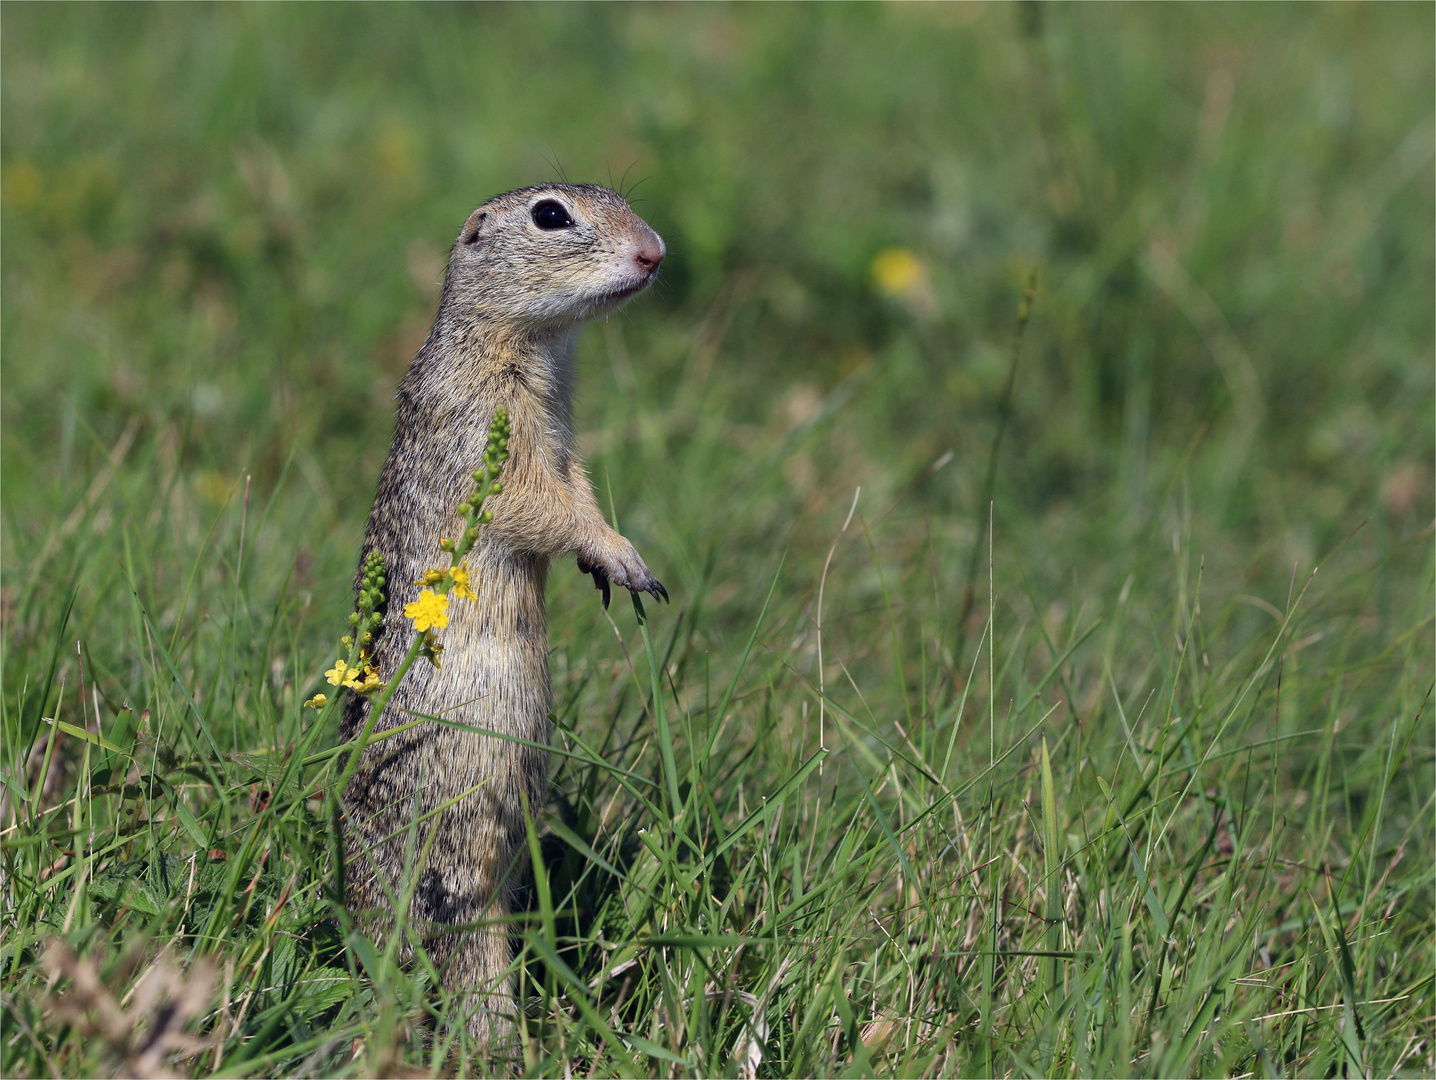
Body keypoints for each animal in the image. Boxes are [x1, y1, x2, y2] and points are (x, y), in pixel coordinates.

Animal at [340, 185, 666, 1045]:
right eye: (551, 215)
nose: (655, 252)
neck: (536, 350)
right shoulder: (492, 429)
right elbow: (541, 504)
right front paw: (621, 556)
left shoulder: (562, 437)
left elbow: (576, 487)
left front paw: (609, 560)